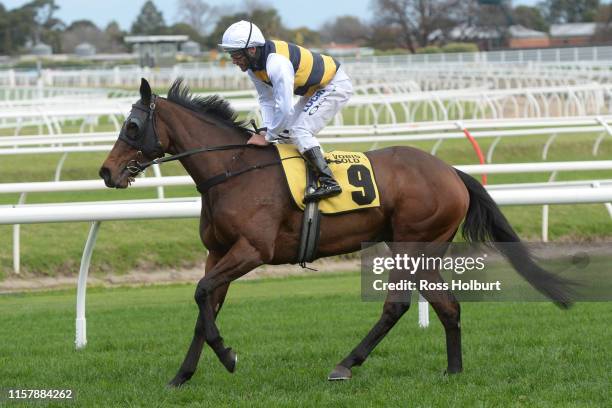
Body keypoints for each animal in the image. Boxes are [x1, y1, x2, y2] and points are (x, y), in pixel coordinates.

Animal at [98, 79, 572, 386]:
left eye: (132, 127)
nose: (106, 172)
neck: (231, 170)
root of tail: (452, 172)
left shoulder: (252, 250)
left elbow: (201, 295)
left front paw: (229, 357)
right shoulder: (218, 253)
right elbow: (205, 306)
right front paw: (182, 375)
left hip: (411, 243)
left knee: (398, 305)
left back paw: (346, 364)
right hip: (421, 250)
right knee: (447, 306)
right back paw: (452, 371)